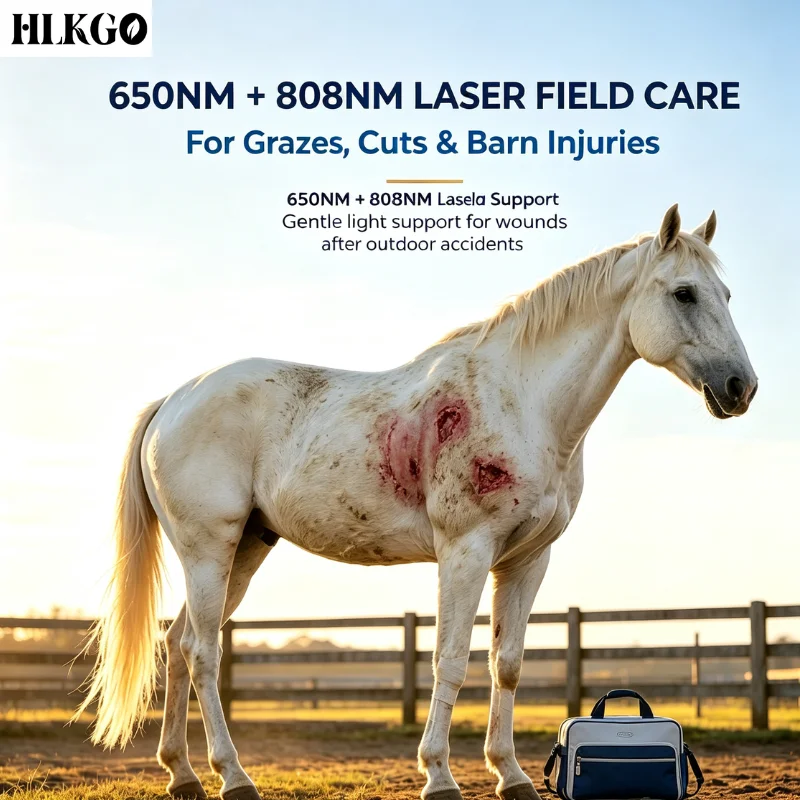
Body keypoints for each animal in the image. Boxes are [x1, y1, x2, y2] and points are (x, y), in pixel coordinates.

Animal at [76, 204, 757, 800]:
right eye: (684, 294)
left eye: (727, 295)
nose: (740, 388)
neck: (524, 400)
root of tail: (175, 399)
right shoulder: (465, 551)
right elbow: (449, 661)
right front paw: (440, 776)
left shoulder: (526, 560)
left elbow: (506, 664)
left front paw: (511, 775)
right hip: (208, 549)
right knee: (202, 652)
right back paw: (233, 777)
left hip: (245, 548)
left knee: (178, 644)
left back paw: (183, 775)